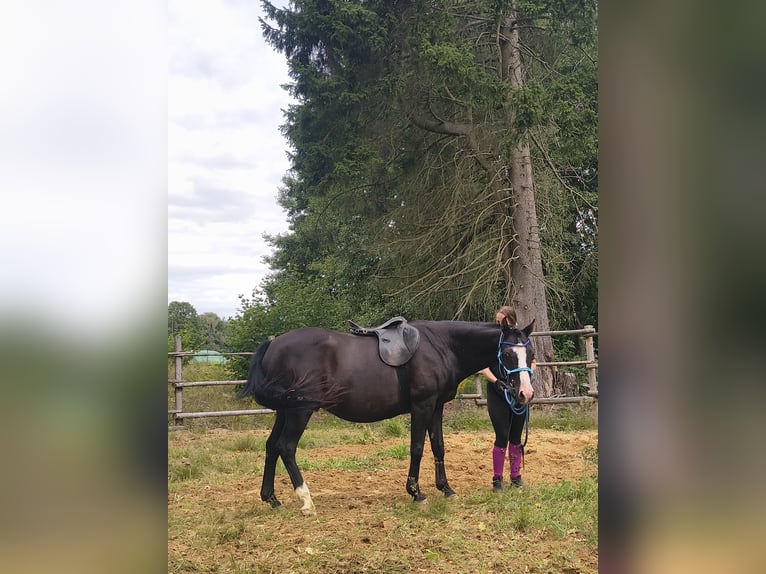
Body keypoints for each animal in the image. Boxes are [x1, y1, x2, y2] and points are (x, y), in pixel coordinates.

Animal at [237, 319, 535, 514]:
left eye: (530, 352)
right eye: (507, 353)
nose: (525, 393)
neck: (442, 346)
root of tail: (273, 344)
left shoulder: (436, 406)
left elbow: (439, 446)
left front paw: (446, 489)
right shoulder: (422, 406)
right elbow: (417, 448)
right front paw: (416, 493)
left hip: (285, 411)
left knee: (271, 446)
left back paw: (271, 499)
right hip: (300, 410)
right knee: (286, 447)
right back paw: (306, 500)